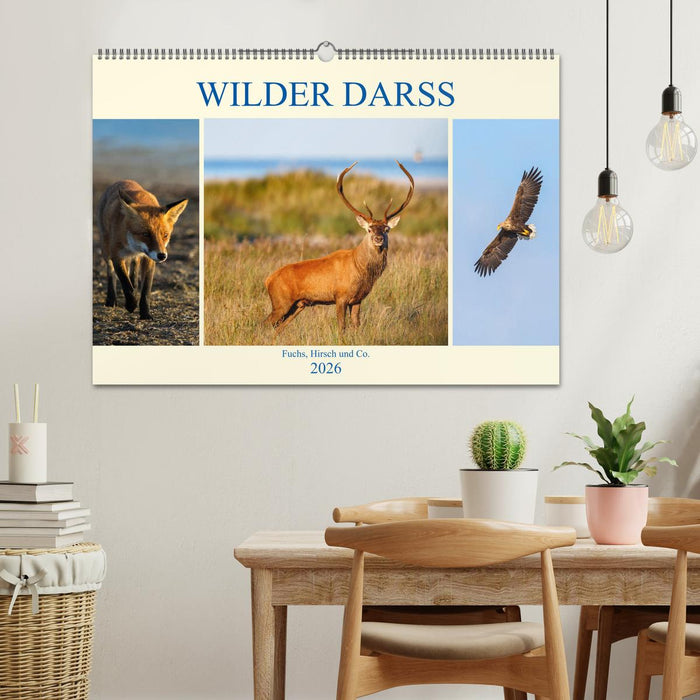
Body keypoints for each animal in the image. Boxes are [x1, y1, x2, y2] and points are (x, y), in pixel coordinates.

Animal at [97, 180, 188, 320]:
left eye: (165, 235)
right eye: (146, 234)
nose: (162, 256)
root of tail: (122, 181)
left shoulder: (148, 258)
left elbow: (146, 289)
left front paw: (145, 313)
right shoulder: (117, 255)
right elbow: (125, 282)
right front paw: (131, 304)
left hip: (135, 257)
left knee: (133, 270)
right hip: (106, 249)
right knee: (110, 272)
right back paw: (111, 300)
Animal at [264, 161, 414, 333]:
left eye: (386, 229)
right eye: (369, 229)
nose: (378, 238)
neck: (362, 270)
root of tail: (268, 280)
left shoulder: (357, 299)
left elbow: (356, 325)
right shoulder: (340, 296)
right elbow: (342, 327)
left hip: (297, 306)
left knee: (277, 329)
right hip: (281, 302)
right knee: (263, 324)